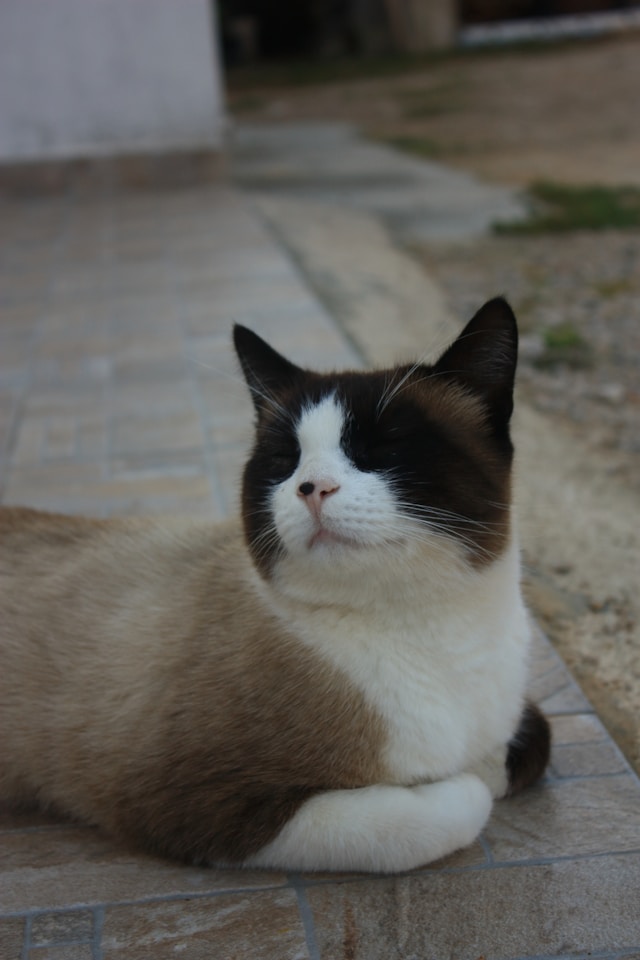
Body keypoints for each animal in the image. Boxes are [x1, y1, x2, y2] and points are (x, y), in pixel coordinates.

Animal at [0, 296, 552, 872]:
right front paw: (451, 780)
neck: (430, 630)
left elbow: (530, 741)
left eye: (383, 449)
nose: (312, 488)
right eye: (286, 461)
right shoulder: (207, 803)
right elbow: (447, 809)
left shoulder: (516, 718)